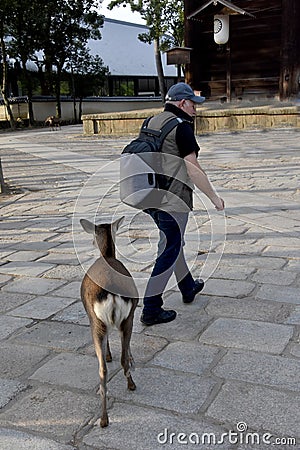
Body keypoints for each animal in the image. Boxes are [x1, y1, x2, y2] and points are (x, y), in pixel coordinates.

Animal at [79, 216, 138, 428]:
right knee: (120, 358)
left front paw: (110, 354)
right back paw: (130, 385)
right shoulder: (131, 314)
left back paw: (104, 418)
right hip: (127, 316)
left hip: (96, 322)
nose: (91, 243)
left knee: (102, 368)